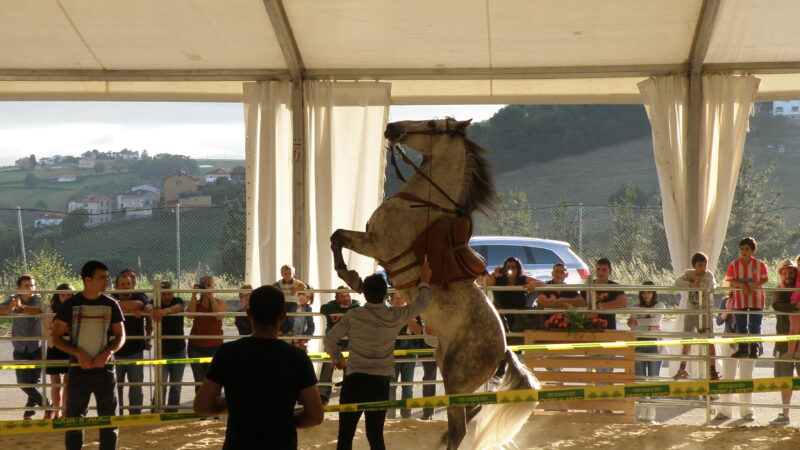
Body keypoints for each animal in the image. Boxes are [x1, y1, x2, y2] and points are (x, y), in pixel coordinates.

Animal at [328, 118, 540, 448]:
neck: (420, 203)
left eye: (431, 123)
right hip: (457, 378)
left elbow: (337, 236)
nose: (392, 126)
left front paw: (351, 276)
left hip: (455, 377)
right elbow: (335, 236)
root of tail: (503, 350)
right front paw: (352, 276)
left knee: (461, 427)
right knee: (470, 414)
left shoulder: (376, 244)